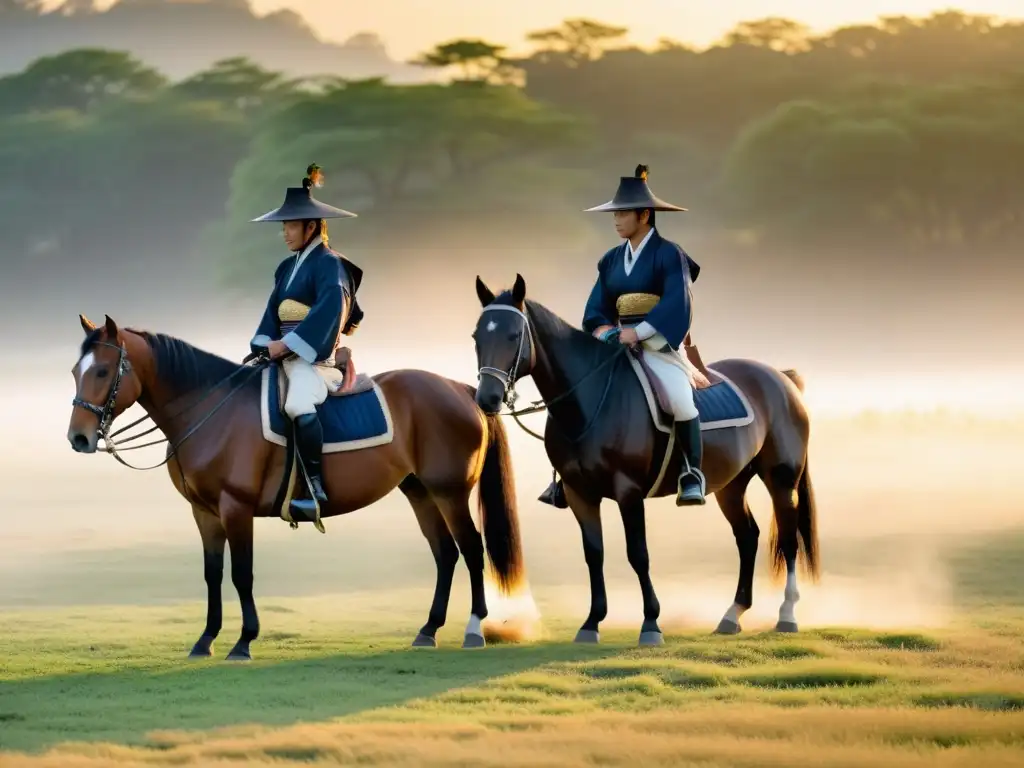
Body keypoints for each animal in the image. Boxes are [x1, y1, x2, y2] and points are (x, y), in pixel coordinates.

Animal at [68, 313, 532, 663]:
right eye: (76, 371)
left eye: (104, 371)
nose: (79, 438)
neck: (209, 409)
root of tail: (463, 389)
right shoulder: (205, 513)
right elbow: (212, 574)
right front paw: (205, 640)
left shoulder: (235, 509)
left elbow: (241, 573)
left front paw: (243, 641)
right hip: (419, 492)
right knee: (445, 553)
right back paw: (428, 629)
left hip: (449, 492)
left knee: (471, 549)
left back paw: (474, 628)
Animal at [468, 274, 815, 643]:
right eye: (477, 337)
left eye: (513, 335)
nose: (487, 398)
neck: (590, 400)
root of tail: (781, 378)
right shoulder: (580, 495)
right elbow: (594, 554)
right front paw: (591, 622)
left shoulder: (628, 493)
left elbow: (638, 554)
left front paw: (650, 623)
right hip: (731, 486)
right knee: (747, 537)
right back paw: (732, 615)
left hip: (781, 481)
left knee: (789, 540)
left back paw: (787, 615)